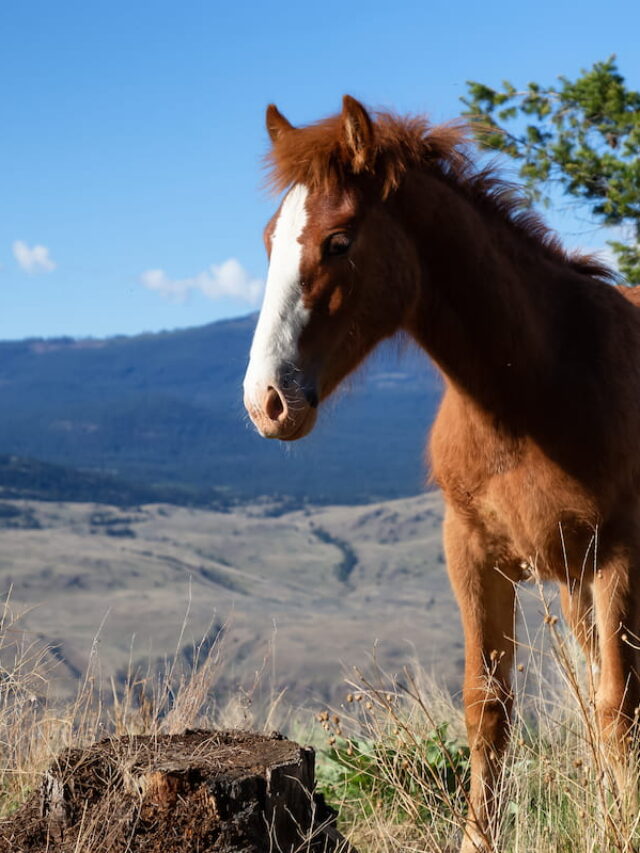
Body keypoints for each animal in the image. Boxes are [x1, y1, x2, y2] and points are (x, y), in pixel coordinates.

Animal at [242, 95, 640, 852]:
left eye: (339, 242)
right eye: (270, 237)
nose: (266, 401)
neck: (534, 388)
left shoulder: (621, 554)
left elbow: (617, 706)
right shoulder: (473, 549)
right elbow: (489, 707)